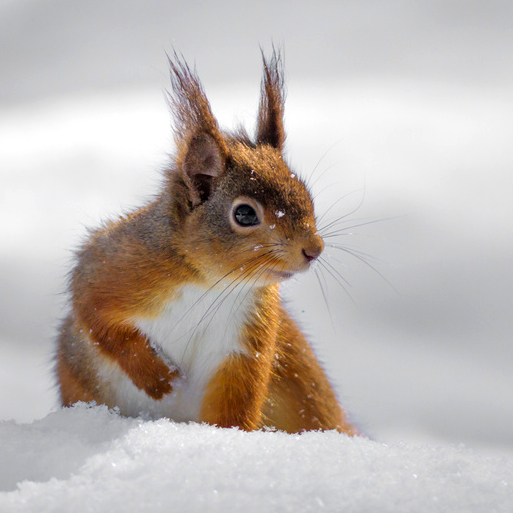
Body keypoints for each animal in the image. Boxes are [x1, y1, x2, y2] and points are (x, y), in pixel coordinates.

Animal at [55, 50, 356, 434]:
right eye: (244, 214)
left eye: (306, 193)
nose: (314, 250)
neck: (210, 283)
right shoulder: (114, 266)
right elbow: (97, 316)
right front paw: (160, 381)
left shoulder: (244, 343)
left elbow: (232, 406)